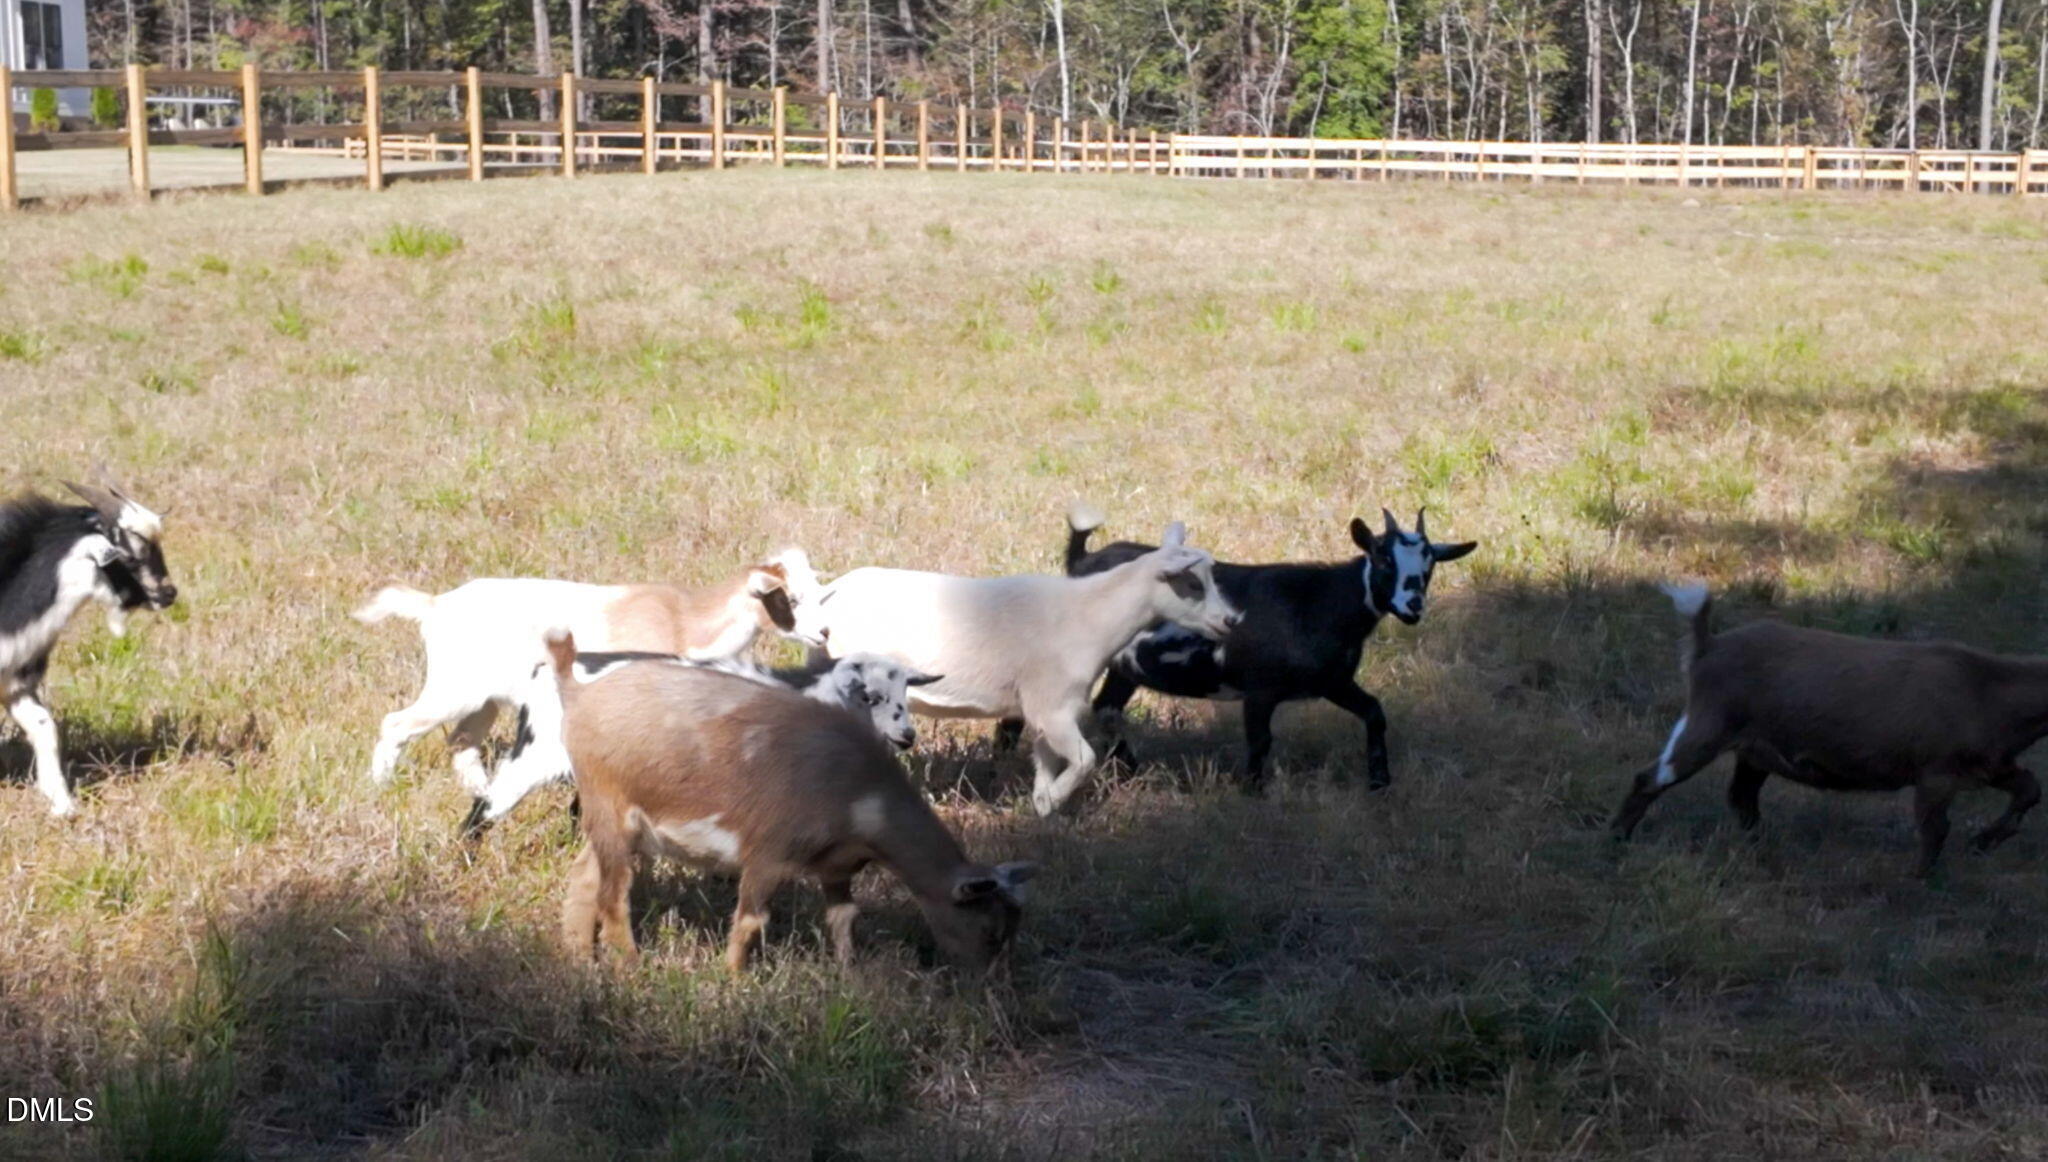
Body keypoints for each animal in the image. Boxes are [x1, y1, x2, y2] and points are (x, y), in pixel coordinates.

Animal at [353, 549, 822, 800]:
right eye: (790, 599)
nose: (823, 632)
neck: (686, 623)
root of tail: (434, 605)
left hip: (482, 700)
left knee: (462, 742)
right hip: (453, 689)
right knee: (396, 724)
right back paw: (380, 787)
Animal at [547, 631, 1035, 972]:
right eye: (989, 931)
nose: (992, 983)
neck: (862, 793)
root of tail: (577, 690)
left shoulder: (837, 867)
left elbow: (844, 917)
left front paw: (849, 971)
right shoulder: (767, 854)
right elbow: (750, 920)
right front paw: (734, 978)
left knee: (585, 877)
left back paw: (580, 958)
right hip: (610, 808)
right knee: (614, 894)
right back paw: (629, 966)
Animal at [797, 520, 1242, 816]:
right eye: (1192, 584)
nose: (1231, 620)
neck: (1091, 616)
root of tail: (830, 593)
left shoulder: (1047, 712)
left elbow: (1046, 763)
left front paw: (1044, 810)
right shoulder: (1052, 706)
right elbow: (1084, 760)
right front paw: (1058, 799)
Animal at [999, 504, 1475, 792]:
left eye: (1430, 565)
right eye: (1382, 559)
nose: (1412, 606)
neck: (1320, 601)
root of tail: (1082, 560)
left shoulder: (1333, 682)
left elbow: (1375, 712)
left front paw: (1379, 781)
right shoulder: (1260, 690)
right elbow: (1260, 741)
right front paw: (1253, 793)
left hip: (1124, 667)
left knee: (1107, 708)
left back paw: (1135, 772)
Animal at [1612, 583, 2048, 877]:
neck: (1988, 688)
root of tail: (1709, 644)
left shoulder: (1991, 765)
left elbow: (2030, 788)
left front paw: (1983, 842)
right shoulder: (1937, 773)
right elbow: (1936, 828)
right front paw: (1919, 881)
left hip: (1754, 748)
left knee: (1741, 796)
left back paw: (1764, 847)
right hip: (1709, 725)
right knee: (1650, 778)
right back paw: (1616, 840)